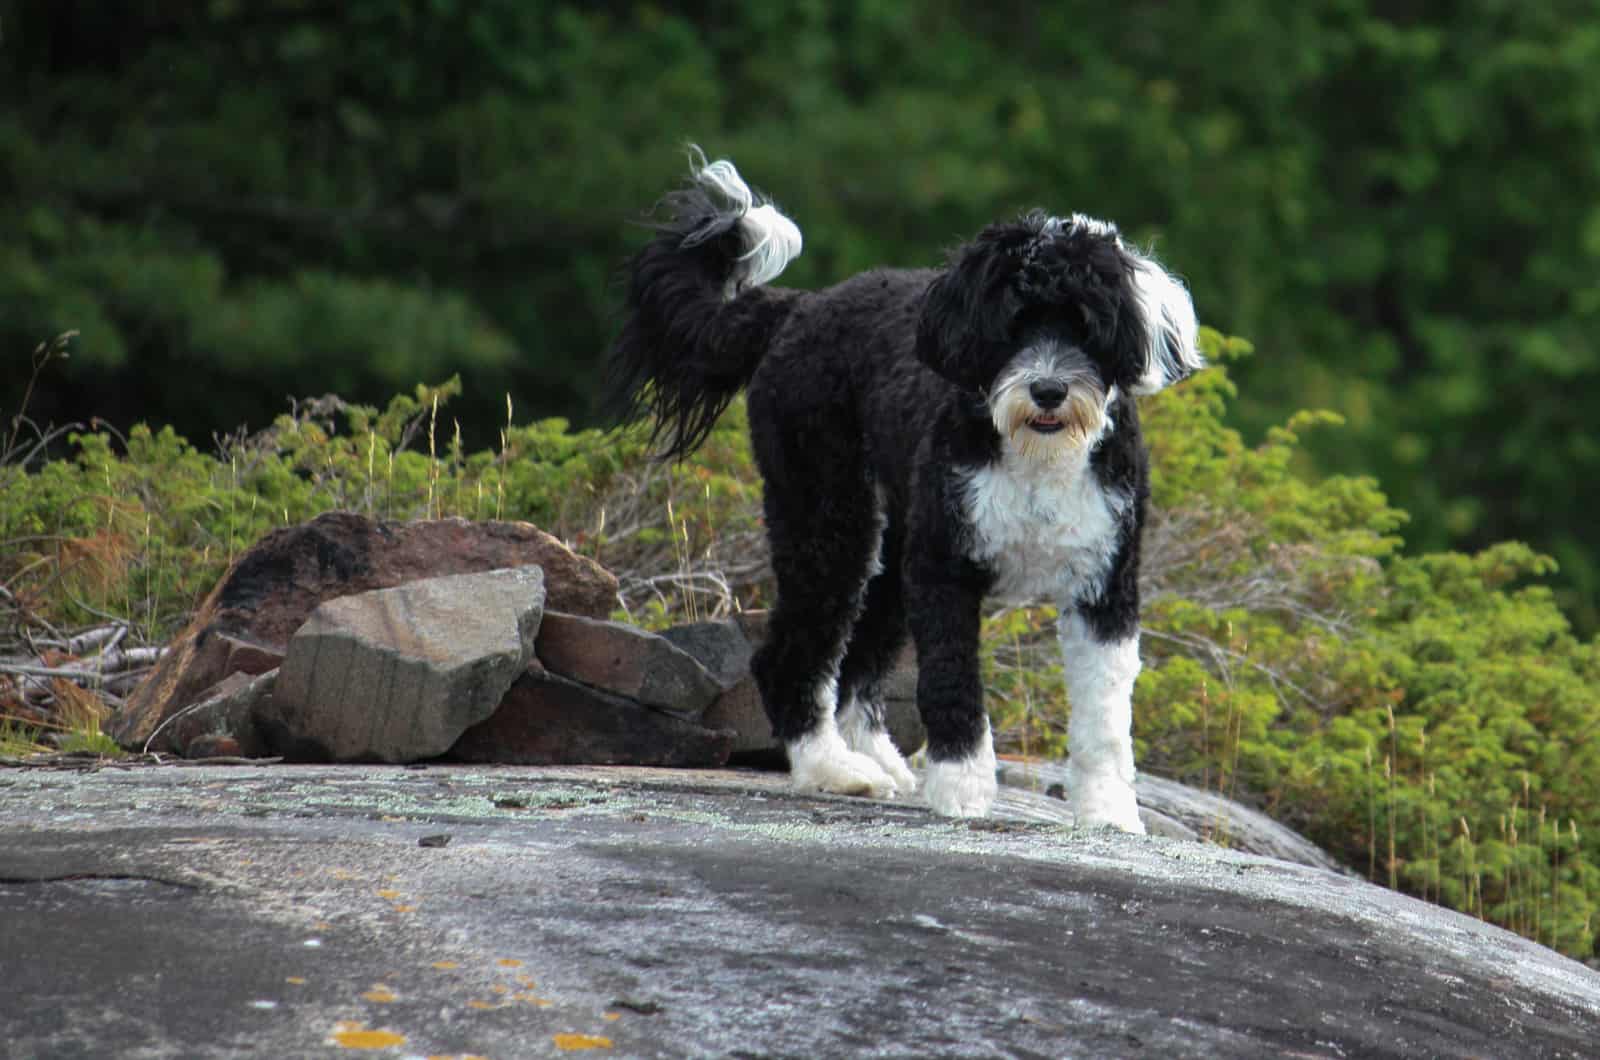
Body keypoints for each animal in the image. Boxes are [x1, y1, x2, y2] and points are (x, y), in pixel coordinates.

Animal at [611, 151, 1203, 832]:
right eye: (1011, 326)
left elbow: (1105, 716)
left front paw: (1108, 812)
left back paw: (878, 760)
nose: (1049, 390)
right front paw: (963, 791)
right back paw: (832, 769)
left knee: (858, 664)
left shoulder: (1105, 585)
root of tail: (798, 307)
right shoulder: (945, 569)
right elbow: (951, 681)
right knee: (792, 656)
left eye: (1086, 326)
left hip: (890, 551)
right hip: (828, 516)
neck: (1035, 457)